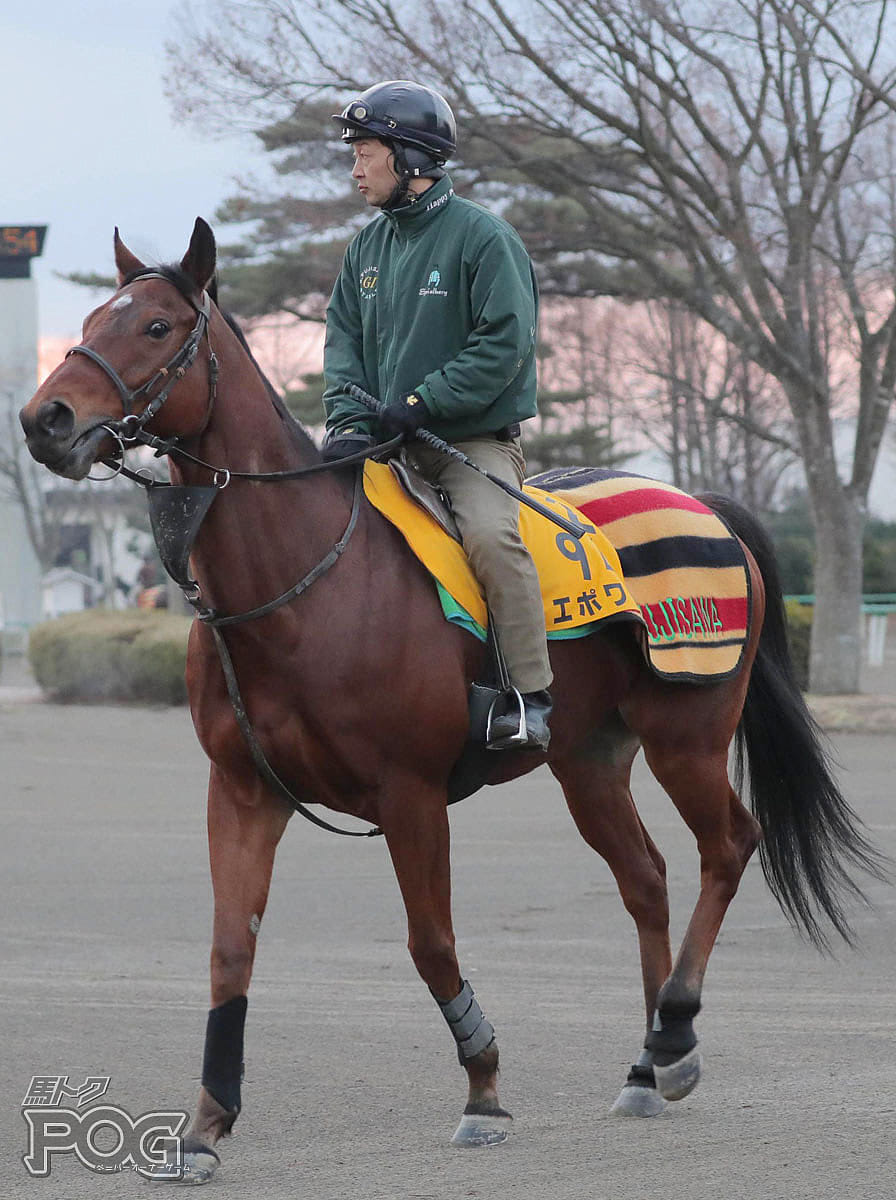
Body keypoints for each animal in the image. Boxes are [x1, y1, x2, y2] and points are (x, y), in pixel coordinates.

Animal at [19, 216, 882, 1180]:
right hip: (589, 761)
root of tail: (707, 508)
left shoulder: (411, 795)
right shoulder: (243, 792)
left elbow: (431, 946)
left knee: (729, 845)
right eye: (90, 318)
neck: (303, 579)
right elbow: (230, 948)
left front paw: (485, 1092)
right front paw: (207, 1126)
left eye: (158, 326)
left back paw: (676, 1033)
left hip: (686, 738)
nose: (45, 419)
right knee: (646, 880)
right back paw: (644, 1065)